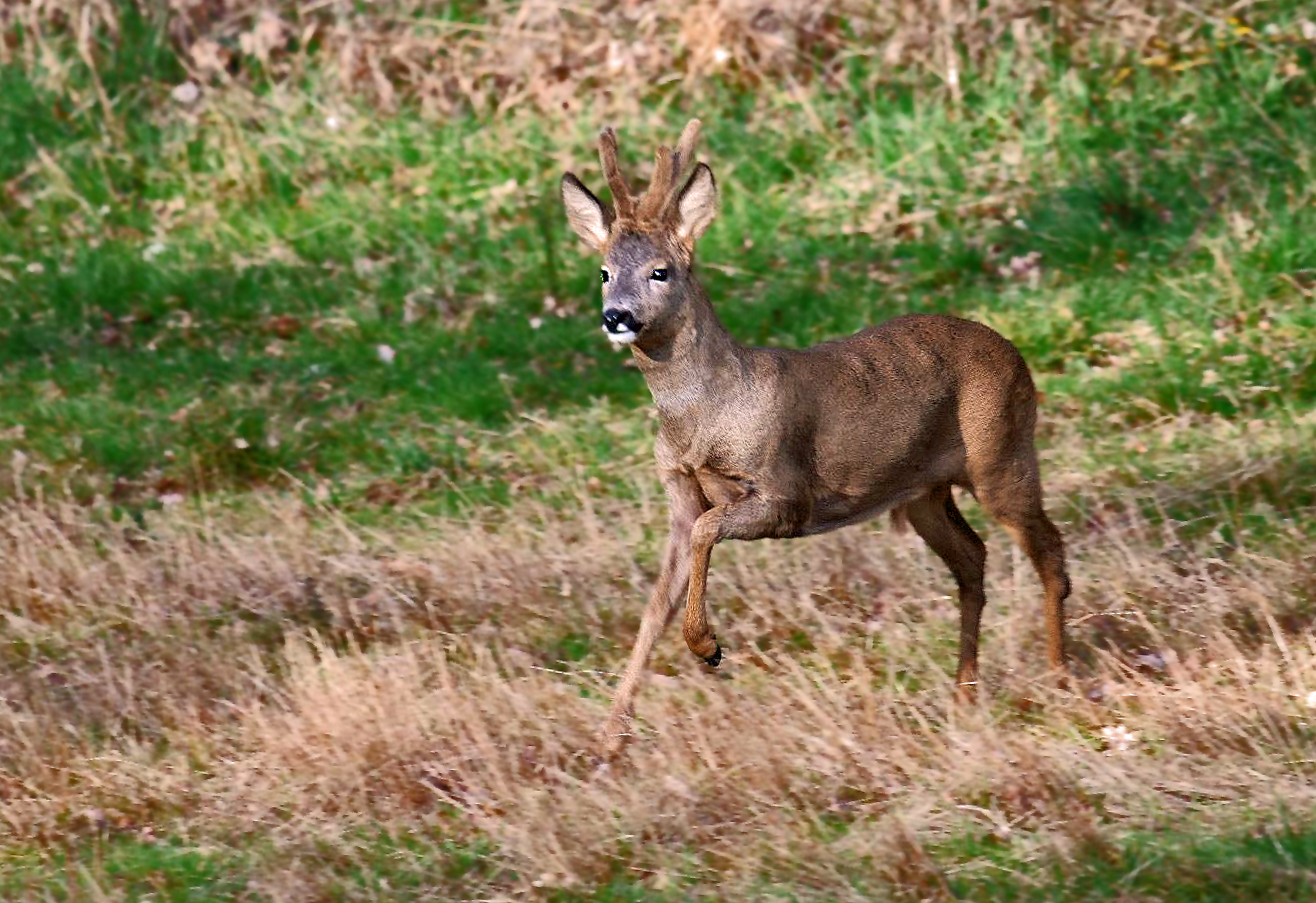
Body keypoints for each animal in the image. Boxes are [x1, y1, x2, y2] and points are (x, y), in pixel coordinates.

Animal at [563, 118, 1068, 758]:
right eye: (604, 272)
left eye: (661, 270)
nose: (617, 317)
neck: (706, 416)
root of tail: (1016, 352)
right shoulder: (678, 494)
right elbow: (655, 606)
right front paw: (609, 736)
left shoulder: (785, 494)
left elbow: (709, 532)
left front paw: (708, 647)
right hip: (924, 492)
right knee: (972, 558)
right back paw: (964, 695)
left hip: (1002, 450)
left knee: (1047, 549)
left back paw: (1057, 679)